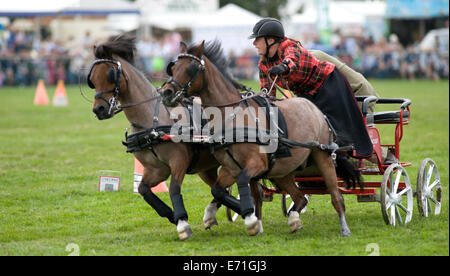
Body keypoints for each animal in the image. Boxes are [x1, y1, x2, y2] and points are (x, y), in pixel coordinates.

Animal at [87, 34, 262, 240]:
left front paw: (183, 224)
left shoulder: (178, 161)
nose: (99, 109)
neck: (153, 121)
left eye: (110, 74)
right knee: (223, 189)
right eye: (92, 78)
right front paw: (172, 215)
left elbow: (173, 189)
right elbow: (143, 189)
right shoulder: (156, 170)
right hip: (207, 168)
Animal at [160, 41, 360, 237]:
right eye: (173, 67)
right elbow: (217, 190)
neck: (233, 117)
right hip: (283, 171)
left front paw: (250, 220)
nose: (166, 93)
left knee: (336, 196)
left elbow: (242, 182)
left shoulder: (257, 163)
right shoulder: (230, 168)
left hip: (323, 157)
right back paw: (294, 220)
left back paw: (344, 228)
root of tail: (316, 110)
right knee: (299, 197)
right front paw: (216, 216)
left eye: (191, 68)